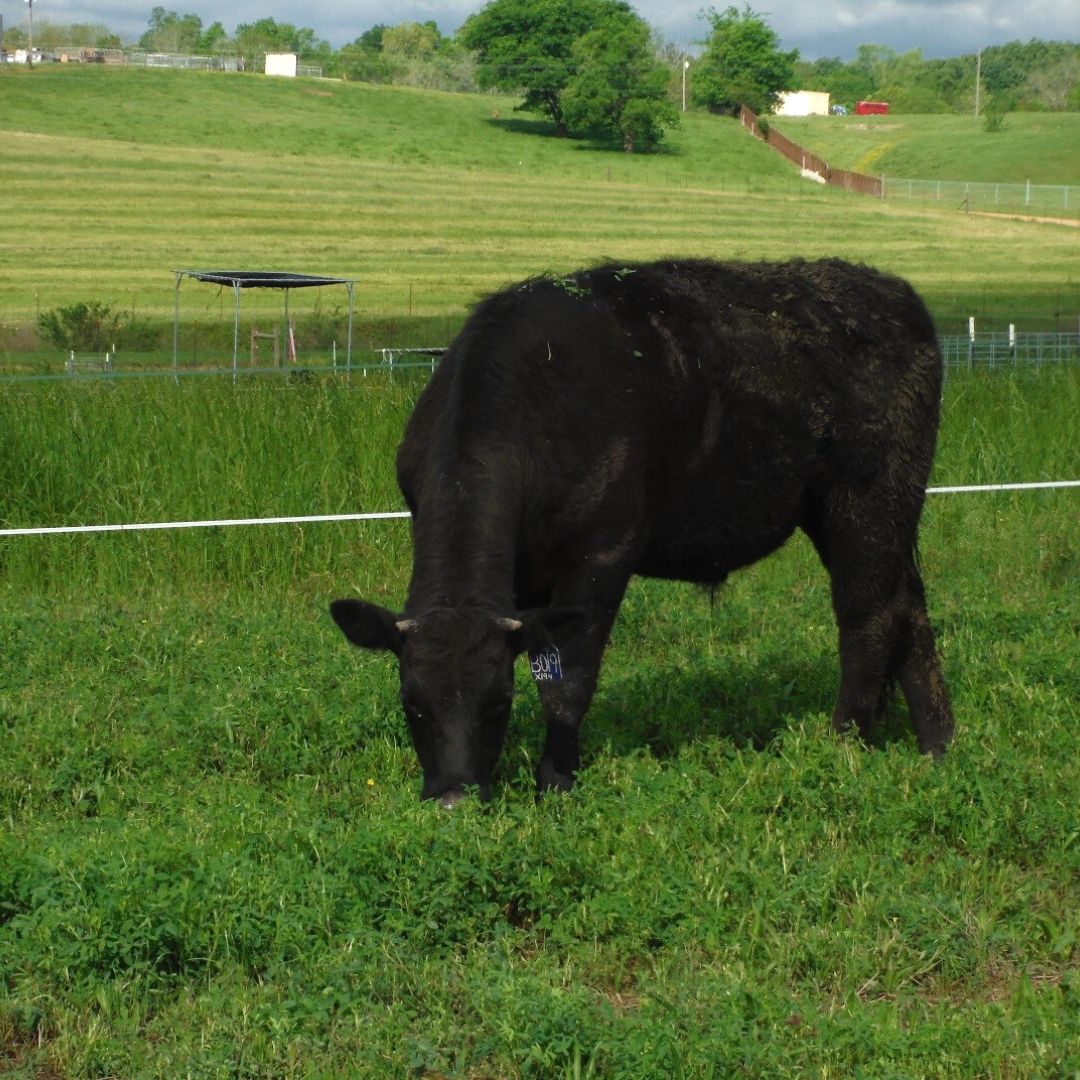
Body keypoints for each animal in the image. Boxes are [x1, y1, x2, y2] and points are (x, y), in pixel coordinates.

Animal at [330, 257, 954, 807]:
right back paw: (938, 744)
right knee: (909, 607)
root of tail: (890, 290)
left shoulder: (604, 551)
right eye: (412, 702)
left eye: (498, 703)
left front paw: (556, 784)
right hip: (863, 511)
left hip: (867, 496)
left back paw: (846, 740)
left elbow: (567, 680)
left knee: (867, 616)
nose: (454, 799)